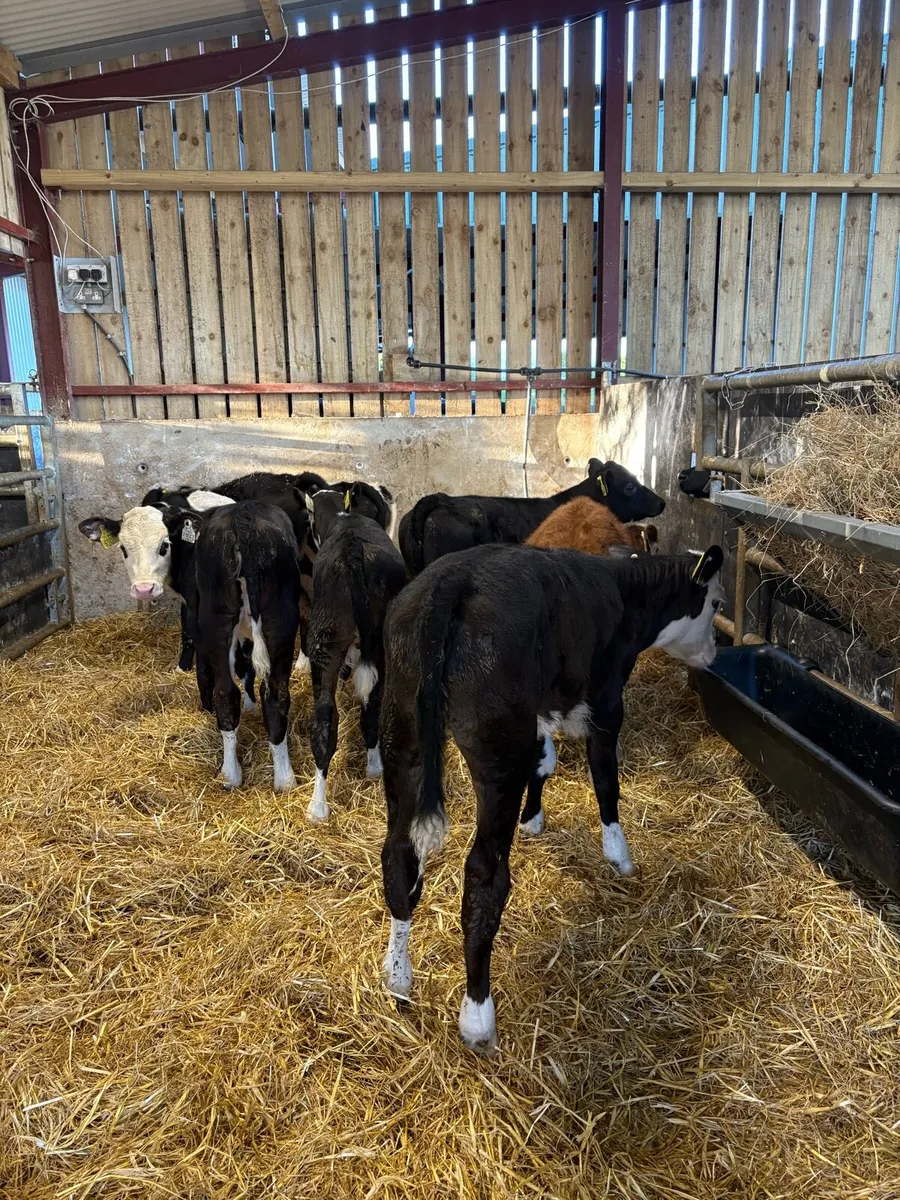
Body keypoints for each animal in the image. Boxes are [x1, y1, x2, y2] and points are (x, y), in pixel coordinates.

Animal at [189, 500, 303, 792]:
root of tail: (243, 517)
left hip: (218, 619)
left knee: (230, 692)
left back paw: (233, 775)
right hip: (278, 620)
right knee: (271, 694)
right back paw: (281, 779)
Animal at [303, 485, 406, 822]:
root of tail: (353, 552)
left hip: (326, 639)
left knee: (326, 717)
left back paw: (318, 804)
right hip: (381, 644)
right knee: (370, 708)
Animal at [378, 541, 724, 1050]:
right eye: (716, 604)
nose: (714, 654)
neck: (627, 594)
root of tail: (452, 581)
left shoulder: (541, 710)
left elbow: (544, 762)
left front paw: (534, 819)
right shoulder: (605, 702)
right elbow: (606, 781)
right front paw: (619, 856)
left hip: (403, 732)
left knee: (400, 853)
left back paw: (399, 974)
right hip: (497, 752)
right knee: (484, 874)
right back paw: (477, 1015)